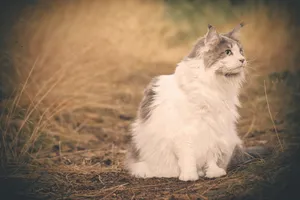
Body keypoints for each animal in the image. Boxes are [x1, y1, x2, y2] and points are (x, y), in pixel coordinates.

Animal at [125, 23, 270, 181]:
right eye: (228, 52)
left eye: (241, 51)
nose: (242, 60)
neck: (215, 87)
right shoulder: (185, 133)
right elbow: (187, 157)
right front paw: (189, 175)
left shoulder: (214, 128)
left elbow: (211, 154)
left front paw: (213, 172)